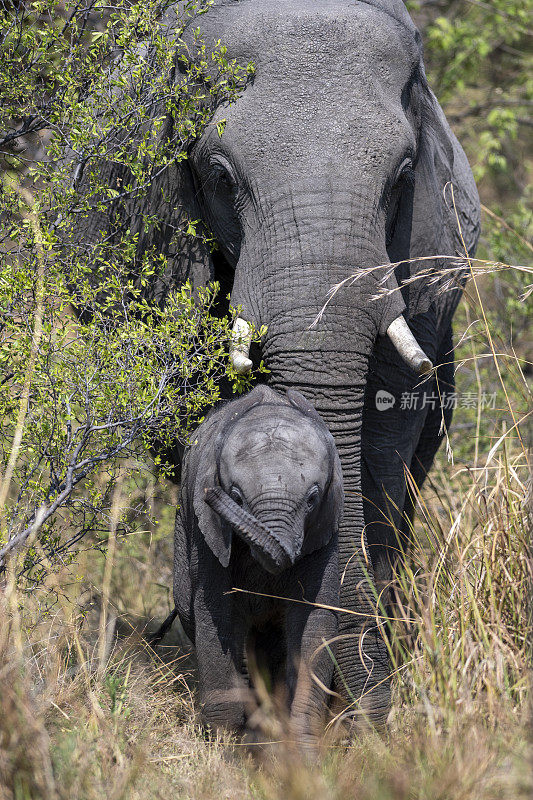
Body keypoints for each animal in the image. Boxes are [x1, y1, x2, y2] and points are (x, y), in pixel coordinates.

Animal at [172, 386, 342, 752]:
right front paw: (225, 750)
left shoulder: (325, 529)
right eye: (236, 496)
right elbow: (216, 615)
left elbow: (315, 622)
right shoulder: (209, 536)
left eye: (312, 499)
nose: (210, 493)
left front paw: (303, 748)